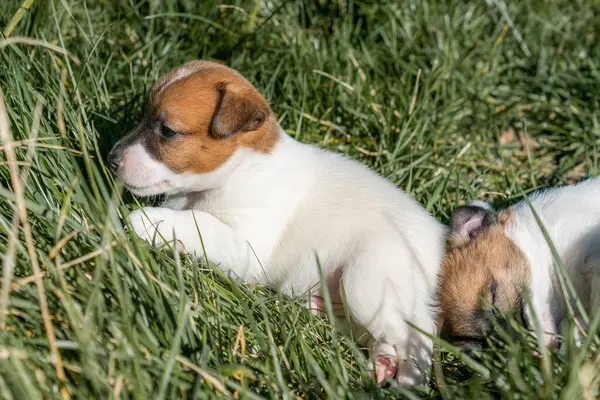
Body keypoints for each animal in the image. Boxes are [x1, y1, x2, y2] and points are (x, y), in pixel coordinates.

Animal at [108, 60, 446, 384]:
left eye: (167, 131)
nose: (111, 159)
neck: (240, 169)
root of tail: (440, 242)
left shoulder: (247, 247)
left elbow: (198, 222)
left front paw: (149, 221)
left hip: (368, 282)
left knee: (413, 333)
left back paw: (409, 376)